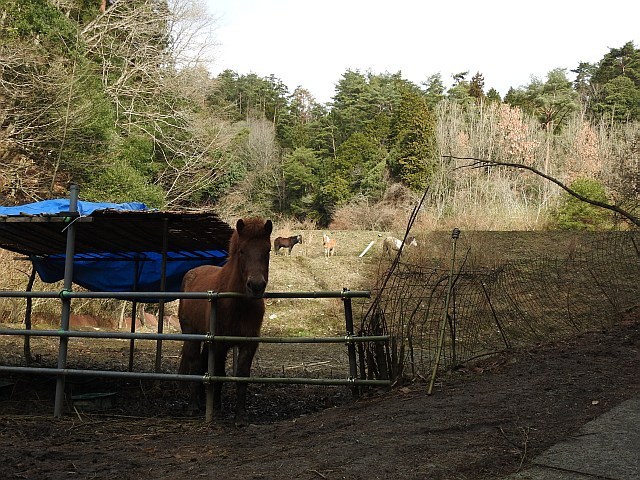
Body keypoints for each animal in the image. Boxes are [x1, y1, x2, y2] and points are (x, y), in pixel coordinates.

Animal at [178, 217, 273, 426]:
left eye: (268, 250)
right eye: (242, 251)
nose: (256, 286)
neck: (238, 303)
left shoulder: (248, 344)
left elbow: (241, 376)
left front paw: (240, 416)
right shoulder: (220, 343)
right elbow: (219, 373)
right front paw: (216, 408)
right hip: (192, 334)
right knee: (195, 362)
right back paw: (193, 405)